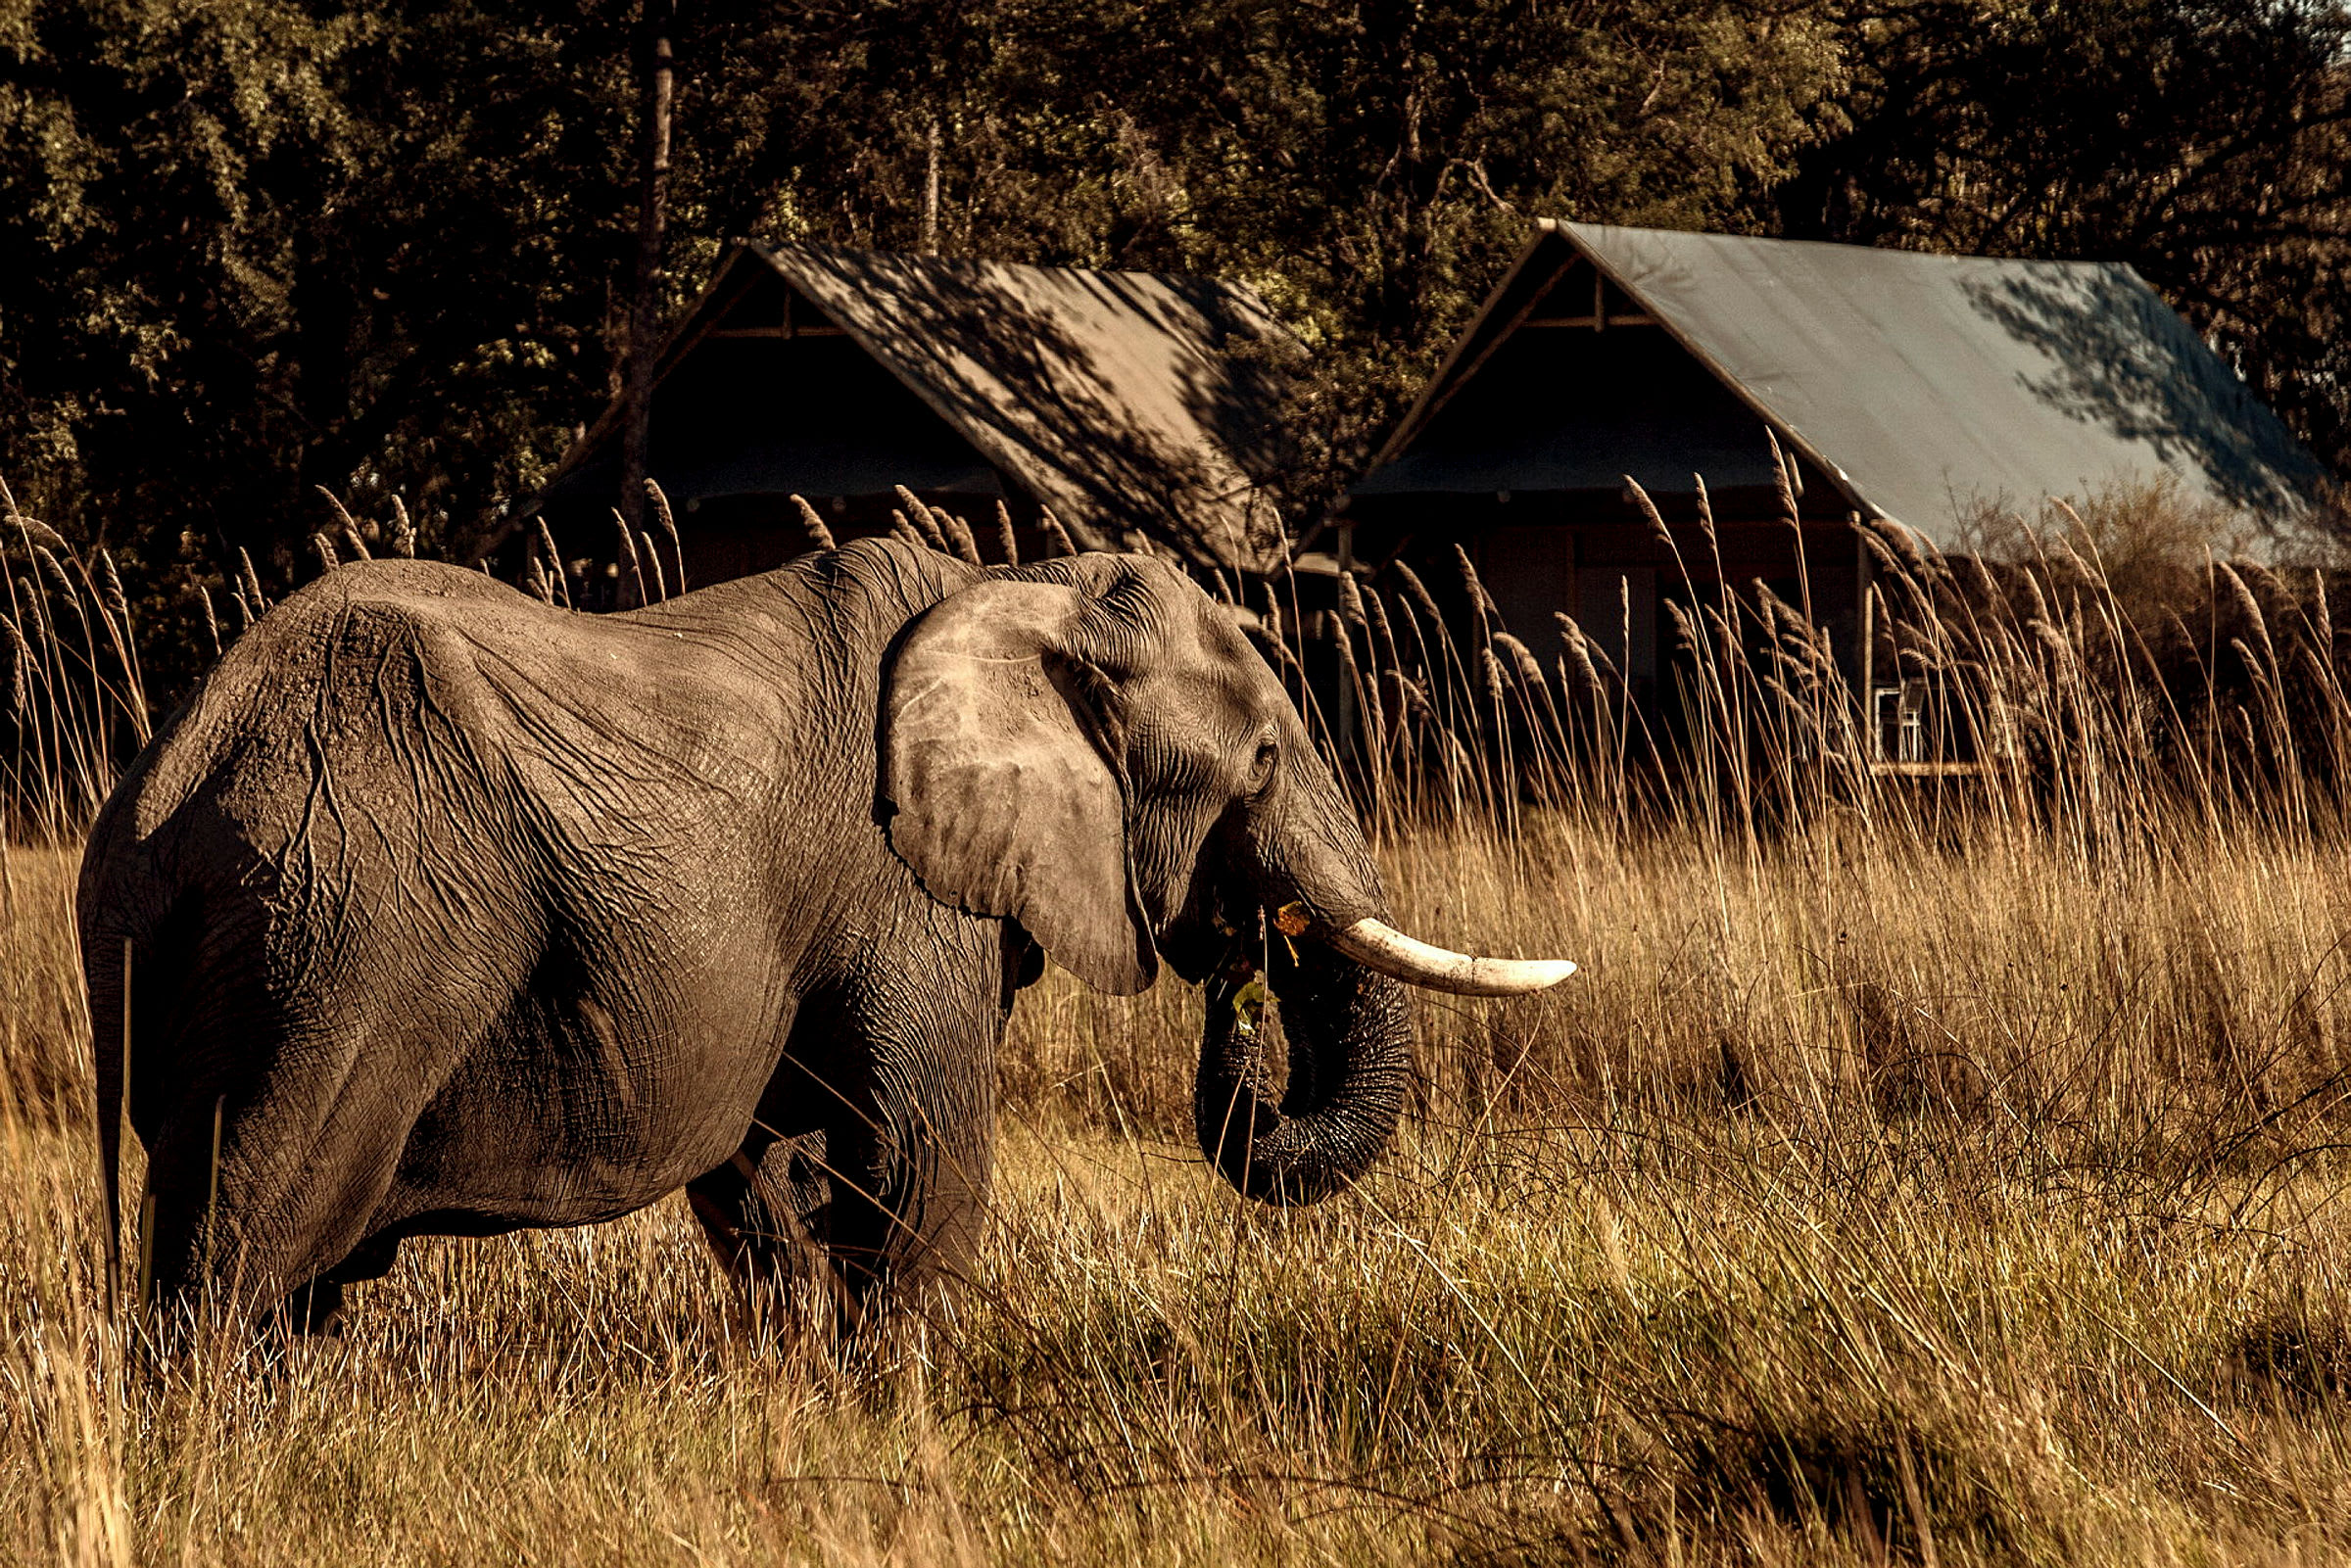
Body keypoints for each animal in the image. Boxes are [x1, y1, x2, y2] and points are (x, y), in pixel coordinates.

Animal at [78, 536, 1572, 1336]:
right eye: (1260, 758)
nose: (1246, 984)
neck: (1016, 588)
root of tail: (162, 797)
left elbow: (773, 1178)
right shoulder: (901, 887)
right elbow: (916, 1163)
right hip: (342, 942)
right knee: (247, 1240)